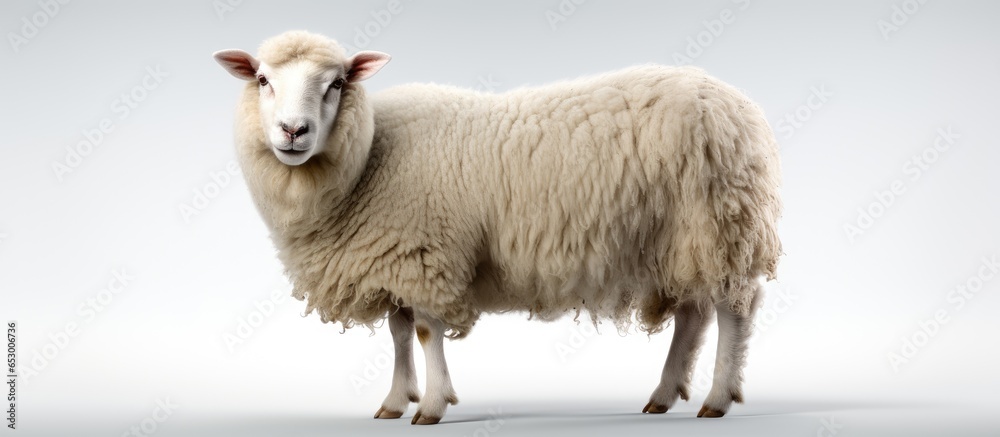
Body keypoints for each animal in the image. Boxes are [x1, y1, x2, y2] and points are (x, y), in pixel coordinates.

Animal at [213, 30, 781, 425]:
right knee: (692, 313)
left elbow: (425, 331)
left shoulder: (424, 252)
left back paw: (717, 398)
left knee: (733, 309)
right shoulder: (394, 257)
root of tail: (739, 105)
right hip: (681, 238)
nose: (293, 131)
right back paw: (663, 395)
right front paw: (396, 400)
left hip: (720, 222)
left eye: (336, 84)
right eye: (262, 80)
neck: (369, 158)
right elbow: (399, 333)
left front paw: (432, 406)